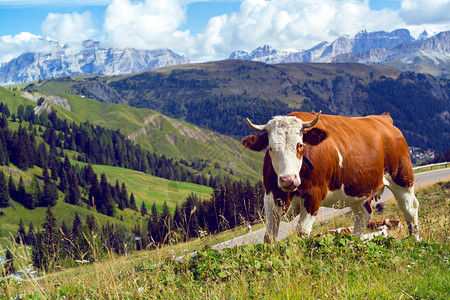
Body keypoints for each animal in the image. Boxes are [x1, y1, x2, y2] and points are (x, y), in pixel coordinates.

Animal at [243, 112, 418, 241]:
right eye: (270, 148)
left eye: (300, 145)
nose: (288, 180)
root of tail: (383, 118)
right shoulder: (269, 198)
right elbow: (269, 236)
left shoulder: (313, 196)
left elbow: (302, 232)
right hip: (357, 192)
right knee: (363, 216)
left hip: (403, 179)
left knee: (410, 209)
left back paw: (414, 240)